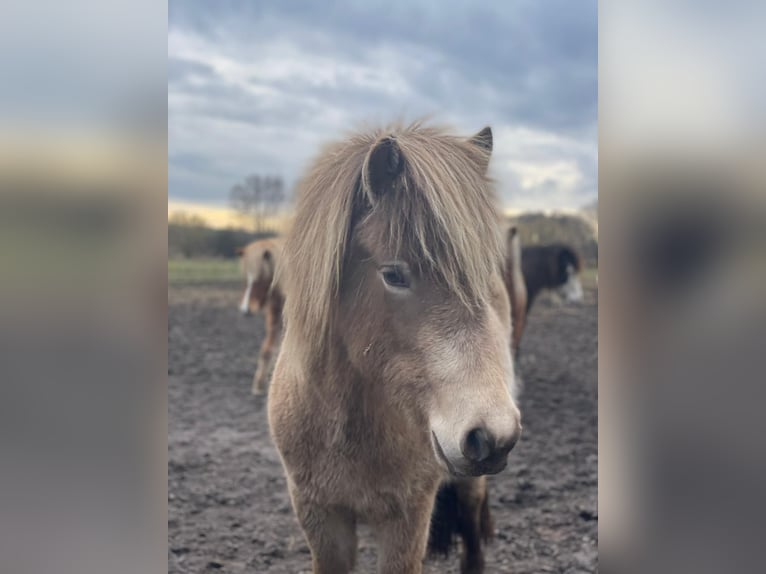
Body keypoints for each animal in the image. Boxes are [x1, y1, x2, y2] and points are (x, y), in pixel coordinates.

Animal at [236, 237, 284, 395]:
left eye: (262, 278)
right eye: (245, 280)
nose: (246, 309)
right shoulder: (275, 320)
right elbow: (266, 350)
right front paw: (259, 384)